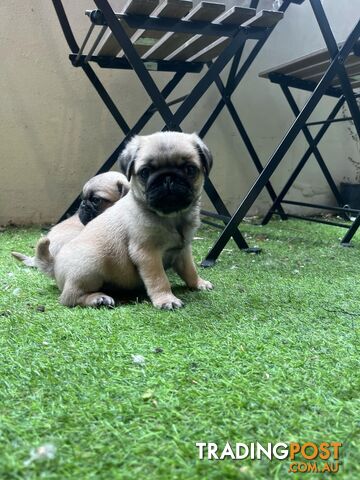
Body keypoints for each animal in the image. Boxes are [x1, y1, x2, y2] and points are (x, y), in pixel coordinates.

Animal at [51, 133, 214, 310]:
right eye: (145, 172)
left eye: (190, 169)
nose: (168, 178)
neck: (172, 217)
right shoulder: (147, 254)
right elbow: (159, 279)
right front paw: (166, 299)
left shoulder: (183, 251)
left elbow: (190, 271)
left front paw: (198, 283)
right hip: (91, 263)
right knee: (70, 297)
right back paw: (98, 298)